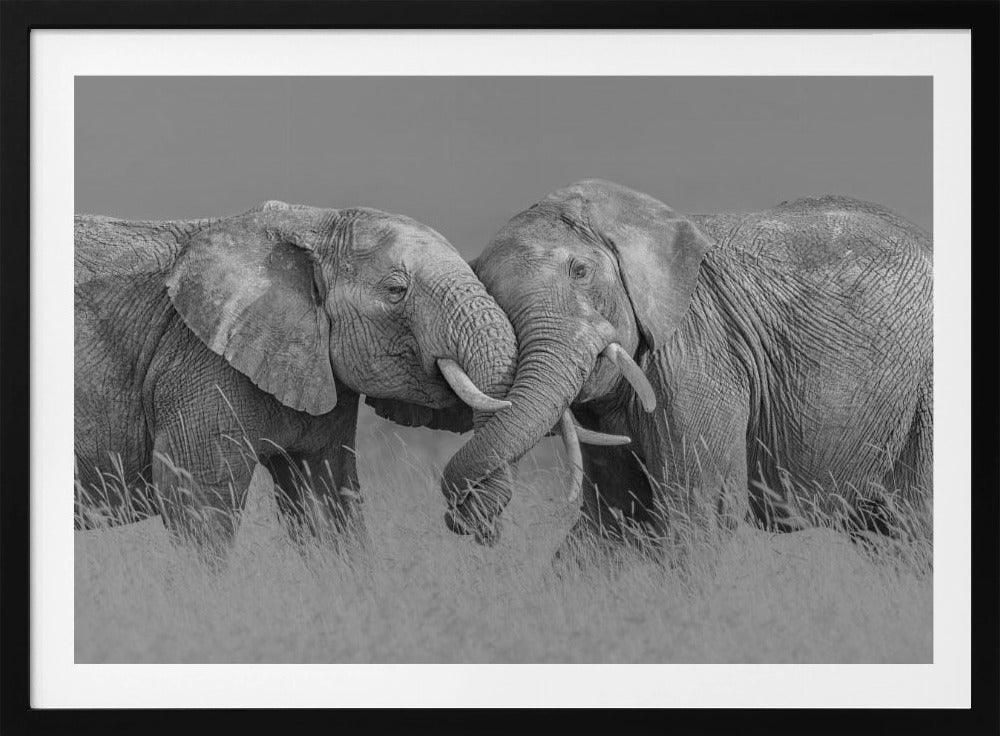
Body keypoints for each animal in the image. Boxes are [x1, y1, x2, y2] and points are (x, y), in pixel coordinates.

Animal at [74, 200, 518, 558]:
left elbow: (325, 501)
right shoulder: (199, 361)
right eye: (396, 290)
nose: (475, 528)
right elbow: (197, 501)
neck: (312, 224)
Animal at [435, 179, 932, 558]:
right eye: (487, 290)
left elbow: (695, 513)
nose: (480, 528)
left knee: (915, 525)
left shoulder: (698, 351)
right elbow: (611, 518)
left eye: (580, 271)